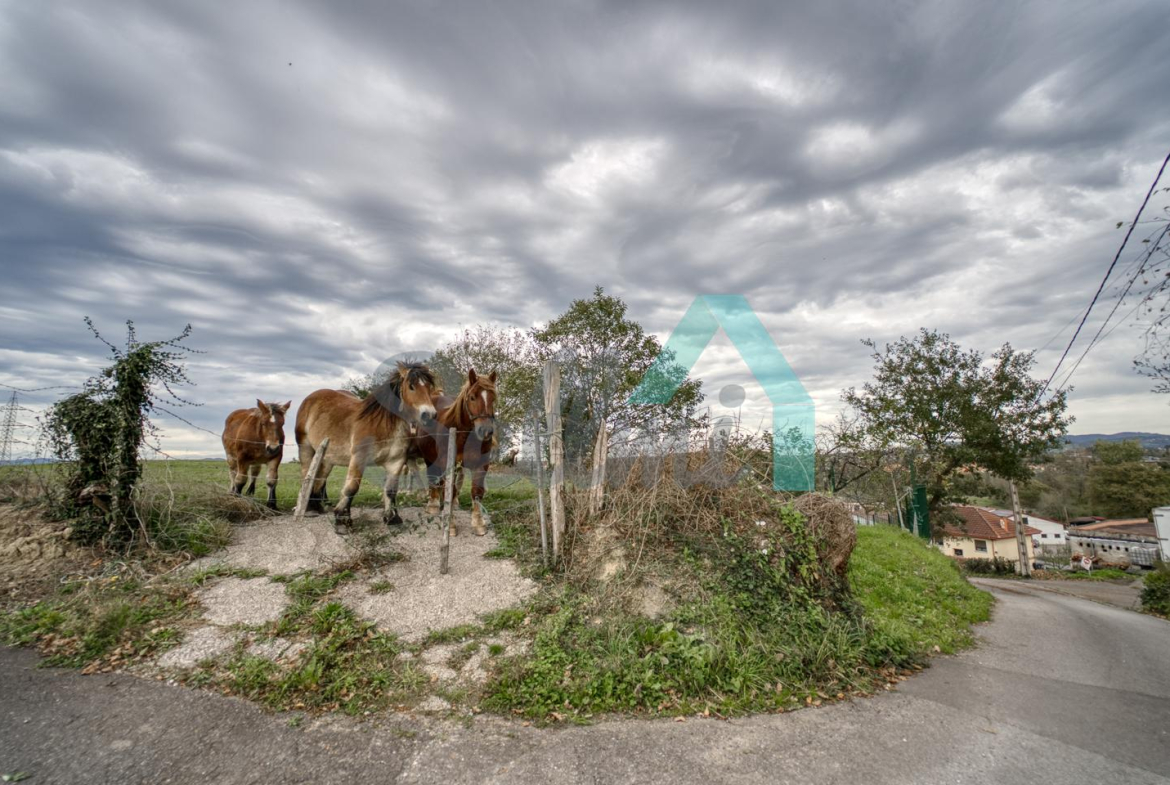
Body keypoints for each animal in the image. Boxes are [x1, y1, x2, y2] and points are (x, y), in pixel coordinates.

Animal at [295, 362, 438, 535]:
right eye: (411, 386)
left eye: (429, 387)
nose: (429, 415)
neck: (383, 425)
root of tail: (311, 398)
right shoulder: (359, 458)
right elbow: (351, 488)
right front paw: (343, 521)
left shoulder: (396, 462)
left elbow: (391, 490)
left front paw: (392, 518)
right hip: (306, 448)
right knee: (307, 477)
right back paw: (309, 509)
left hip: (327, 458)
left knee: (319, 480)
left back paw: (318, 507)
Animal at [409, 369, 497, 536]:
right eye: (472, 397)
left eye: (493, 398)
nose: (486, 431)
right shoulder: (445, 464)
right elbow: (448, 489)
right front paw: (450, 525)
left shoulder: (481, 464)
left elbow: (477, 491)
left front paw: (478, 523)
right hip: (430, 459)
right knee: (434, 480)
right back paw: (433, 505)